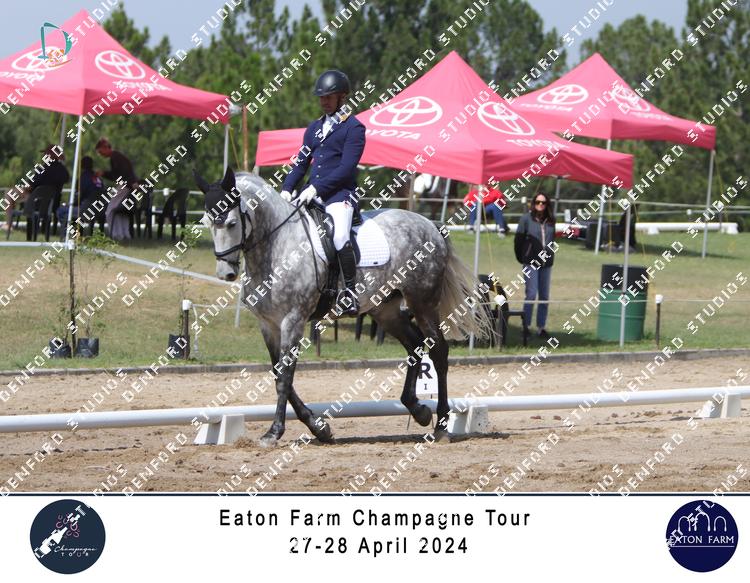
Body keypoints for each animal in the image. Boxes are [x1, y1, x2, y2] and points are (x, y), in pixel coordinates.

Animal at [194, 167, 492, 446]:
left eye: (231, 223)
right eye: (208, 222)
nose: (225, 273)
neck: (277, 247)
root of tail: (429, 225)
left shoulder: (293, 320)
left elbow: (284, 378)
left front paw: (274, 432)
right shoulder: (268, 325)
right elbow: (279, 374)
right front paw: (319, 427)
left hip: (423, 303)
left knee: (438, 351)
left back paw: (441, 425)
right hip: (386, 311)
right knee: (415, 346)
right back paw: (418, 410)